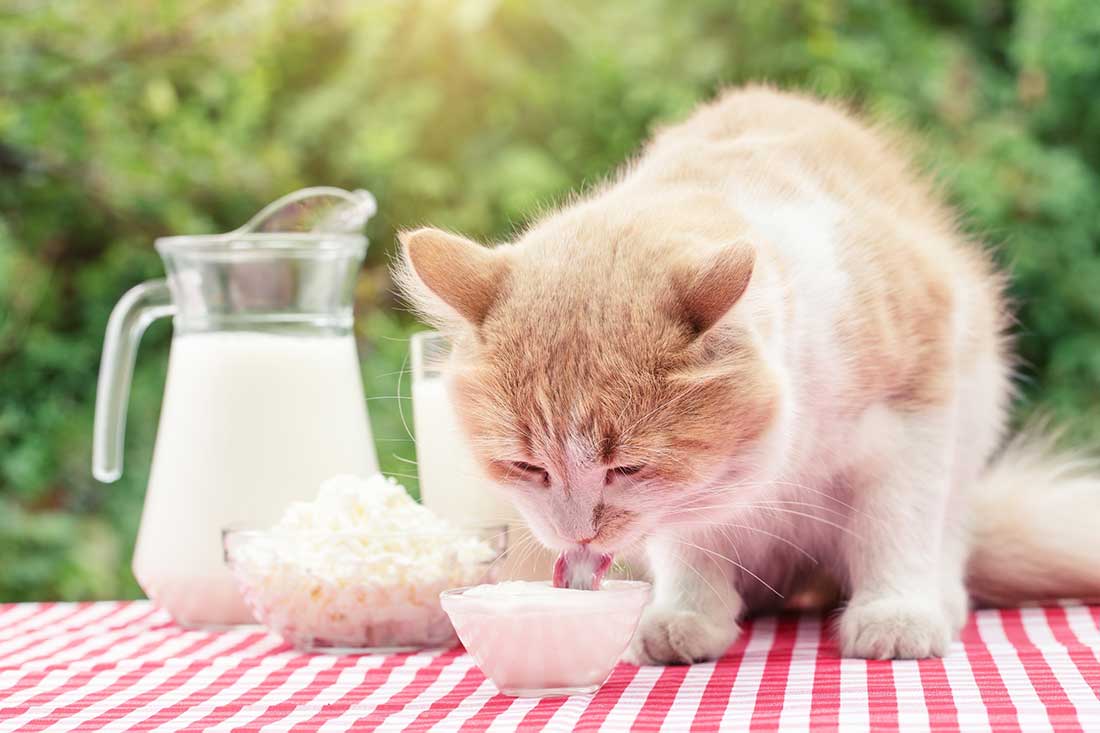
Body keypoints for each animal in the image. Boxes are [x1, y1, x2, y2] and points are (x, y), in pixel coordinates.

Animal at [396, 85, 1100, 660]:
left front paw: (896, 613)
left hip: (978, 406)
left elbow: (897, 523)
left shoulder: (916, 406)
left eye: (628, 469)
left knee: (949, 530)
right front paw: (688, 616)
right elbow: (689, 541)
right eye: (527, 467)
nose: (577, 533)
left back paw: (939, 599)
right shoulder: (695, 497)